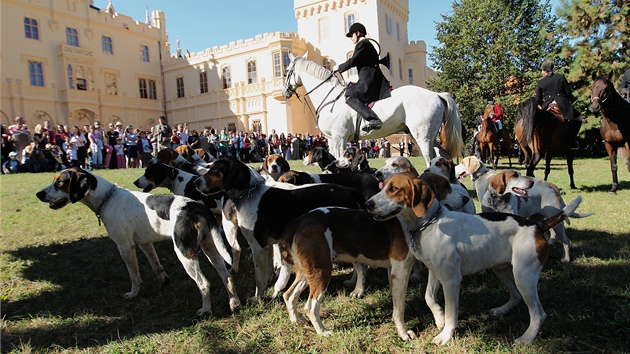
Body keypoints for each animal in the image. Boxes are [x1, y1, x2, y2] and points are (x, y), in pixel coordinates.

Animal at [282, 51, 464, 165]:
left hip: (423, 137)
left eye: (287, 70)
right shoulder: (332, 139)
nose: (284, 92)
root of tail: (436, 94)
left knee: (430, 159)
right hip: (425, 136)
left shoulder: (339, 138)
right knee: (443, 156)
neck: (329, 97)